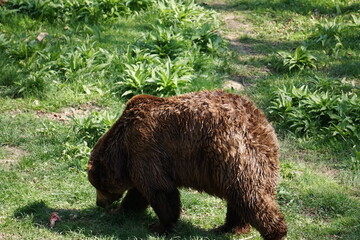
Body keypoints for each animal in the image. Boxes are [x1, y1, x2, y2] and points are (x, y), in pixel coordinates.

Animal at [88, 90, 288, 240]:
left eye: (98, 186)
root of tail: (261, 124)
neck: (122, 148)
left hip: (231, 153)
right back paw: (228, 227)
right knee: (238, 198)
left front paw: (159, 226)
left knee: (249, 195)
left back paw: (276, 232)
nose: (99, 203)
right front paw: (120, 211)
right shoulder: (138, 160)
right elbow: (139, 193)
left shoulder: (144, 148)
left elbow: (160, 190)